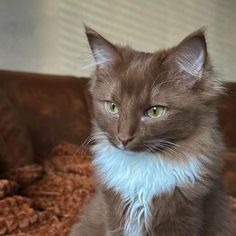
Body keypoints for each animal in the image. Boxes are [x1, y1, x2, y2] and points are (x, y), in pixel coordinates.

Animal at [69, 26, 231, 235]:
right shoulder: (113, 212)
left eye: (155, 111)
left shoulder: (185, 213)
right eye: (113, 107)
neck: (141, 170)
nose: (123, 138)